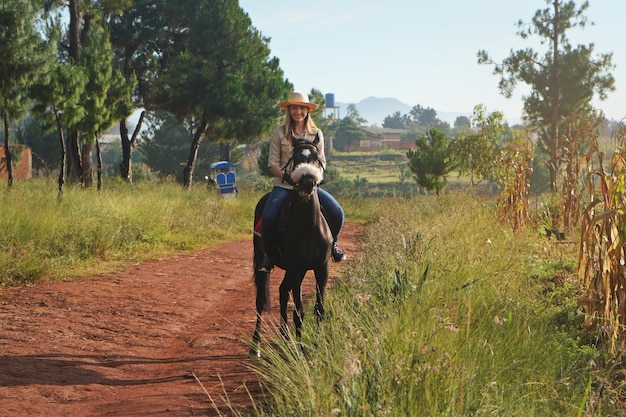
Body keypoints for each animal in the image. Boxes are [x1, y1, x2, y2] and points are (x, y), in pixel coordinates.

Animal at [251, 137, 334, 358]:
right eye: (296, 157)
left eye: (315, 157)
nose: (307, 182)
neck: (308, 226)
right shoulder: (297, 269)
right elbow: (299, 311)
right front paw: (302, 350)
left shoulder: (321, 268)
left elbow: (319, 309)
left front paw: (317, 345)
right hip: (265, 263)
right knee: (261, 300)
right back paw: (256, 346)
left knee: (282, 290)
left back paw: (286, 338)